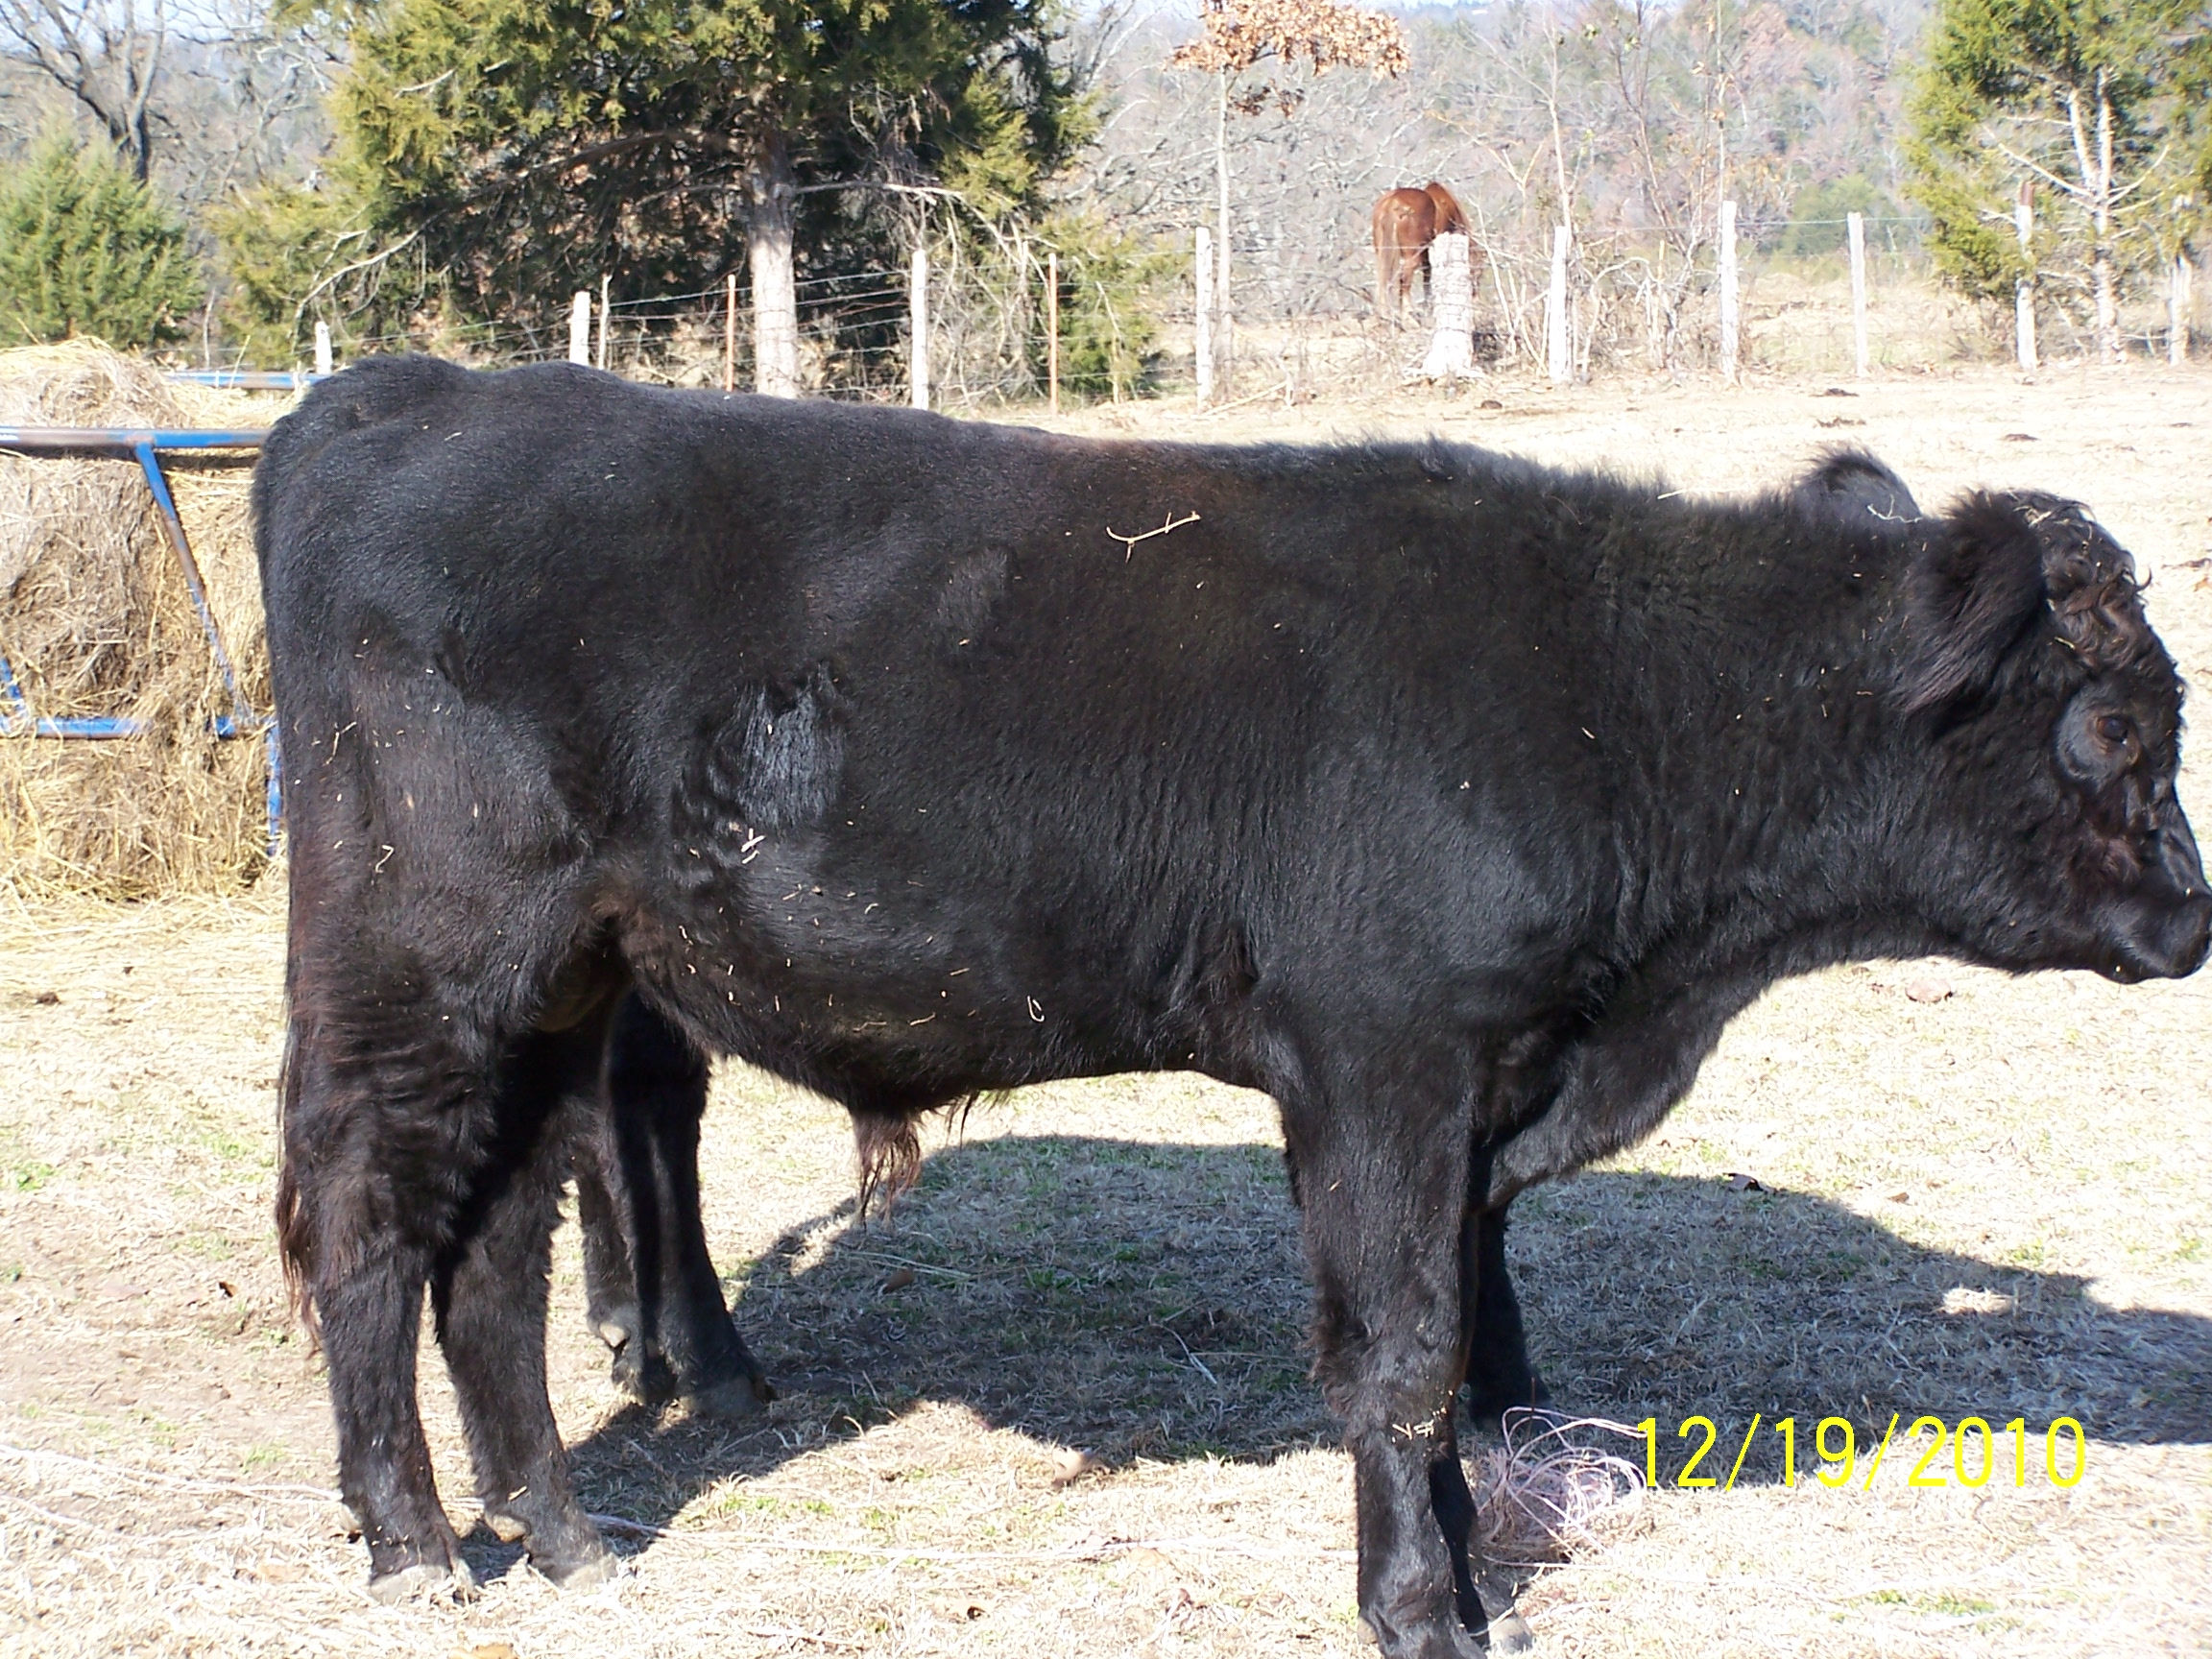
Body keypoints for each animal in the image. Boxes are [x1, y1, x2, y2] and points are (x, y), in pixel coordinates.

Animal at [255, 356, 2208, 1657]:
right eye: (2115, 723)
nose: (2193, 916)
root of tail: (398, 393)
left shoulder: (1472, 1098)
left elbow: (1441, 1354)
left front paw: (1461, 1573)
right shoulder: (1382, 1067)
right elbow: (1403, 1357)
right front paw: (1420, 1610)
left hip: (558, 992)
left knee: (496, 1251)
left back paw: (561, 1530)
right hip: (424, 968)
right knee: (367, 1223)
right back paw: (413, 1538)